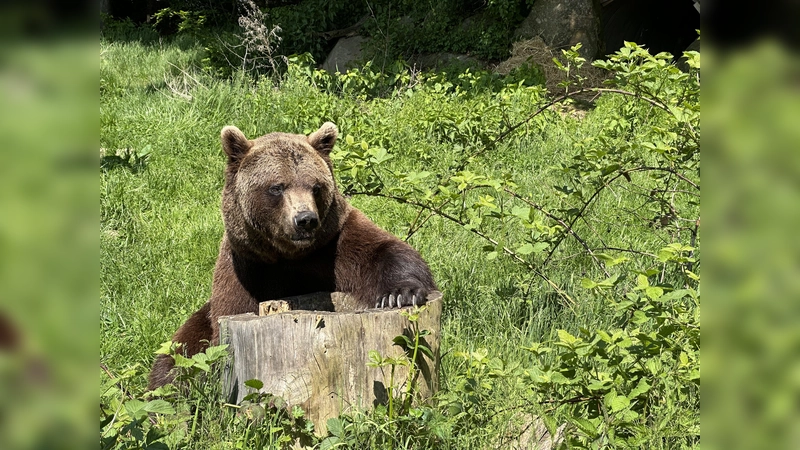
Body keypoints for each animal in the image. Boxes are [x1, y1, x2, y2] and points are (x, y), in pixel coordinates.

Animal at [150, 121, 438, 388]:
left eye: (316, 186)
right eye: (277, 187)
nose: (306, 219)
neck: (288, 255)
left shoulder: (332, 243)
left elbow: (385, 252)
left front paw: (399, 294)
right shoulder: (246, 267)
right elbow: (224, 326)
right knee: (175, 357)